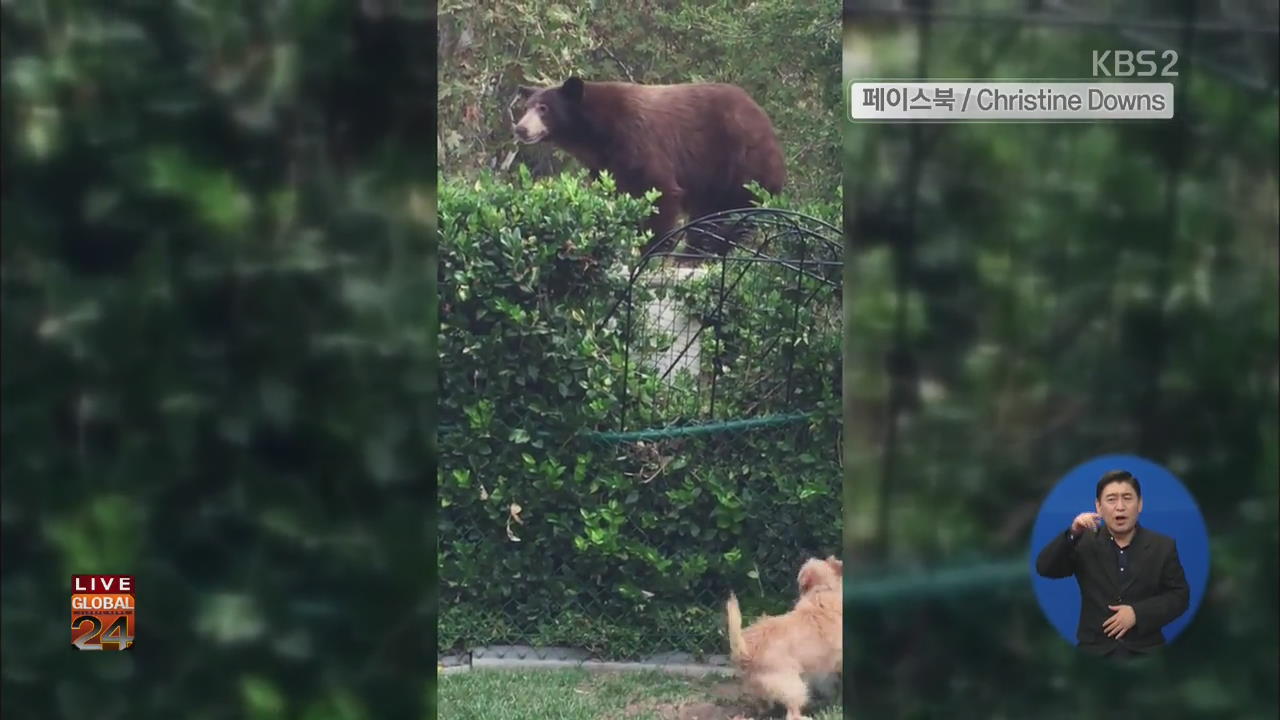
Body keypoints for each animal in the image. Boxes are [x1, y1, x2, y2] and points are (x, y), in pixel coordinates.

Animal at [509, 75, 778, 253]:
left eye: (544, 108)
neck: (597, 134)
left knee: (740, 203)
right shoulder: (605, 165)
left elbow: (659, 190)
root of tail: (761, 114)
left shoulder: (637, 138)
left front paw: (652, 247)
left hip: (739, 156)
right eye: (526, 107)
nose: (521, 128)